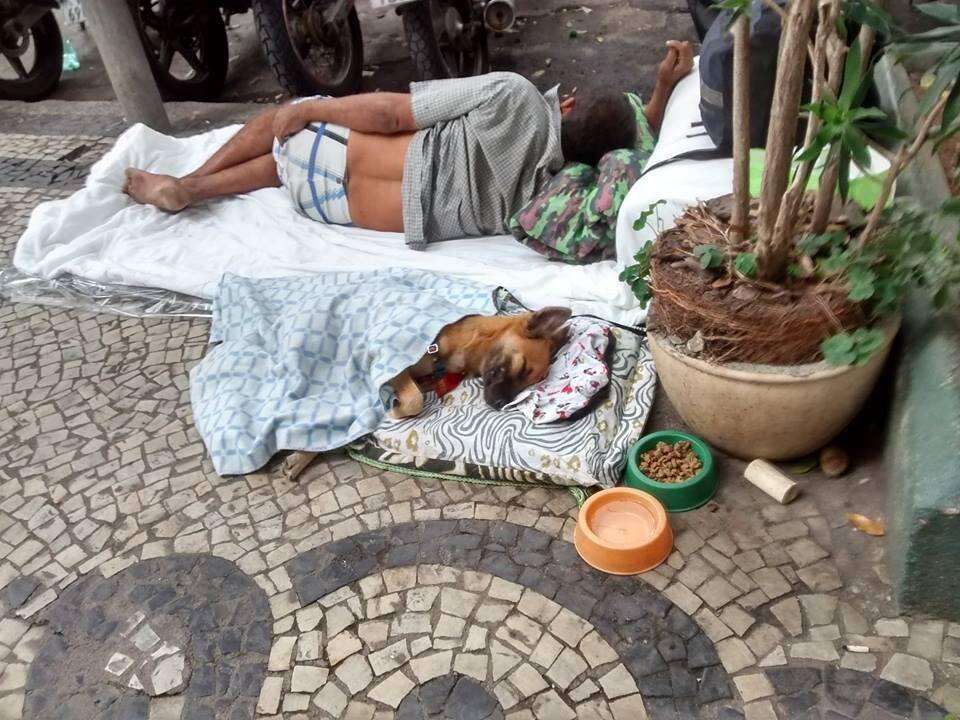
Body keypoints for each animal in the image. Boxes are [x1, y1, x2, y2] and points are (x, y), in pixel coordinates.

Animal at [282, 304, 572, 478]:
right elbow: (414, 401)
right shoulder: (400, 367)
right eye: (521, 369)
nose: (500, 404)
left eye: (529, 384)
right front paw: (393, 406)